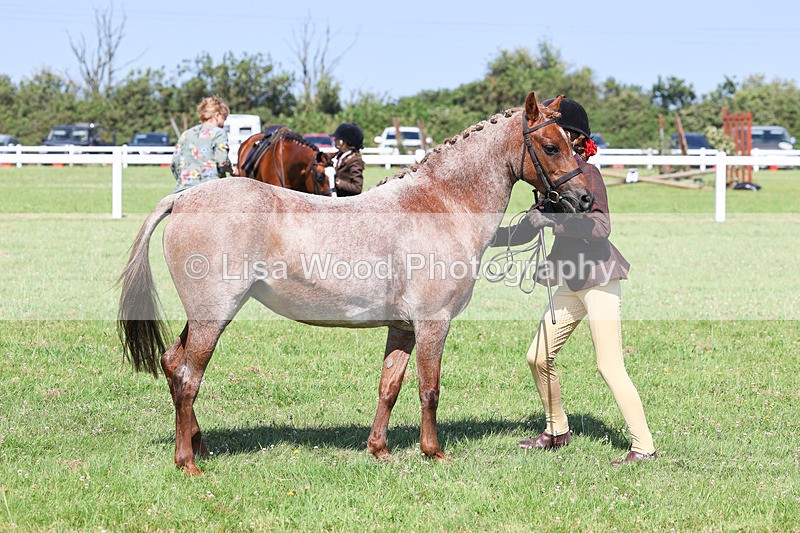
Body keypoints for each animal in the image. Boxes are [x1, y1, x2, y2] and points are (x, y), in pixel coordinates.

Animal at [118, 92, 594, 475]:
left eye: (573, 145)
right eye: (551, 146)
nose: (584, 198)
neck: (440, 204)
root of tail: (183, 199)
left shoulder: (402, 328)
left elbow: (389, 387)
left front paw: (379, 450)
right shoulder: (433, 324)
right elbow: (429, 390)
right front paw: (434, 453)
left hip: (203, 316)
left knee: (171, 362)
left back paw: (199, 445)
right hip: (213, 316)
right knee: (187, 377)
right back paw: (188, 462)